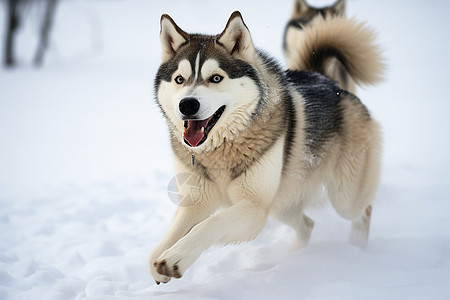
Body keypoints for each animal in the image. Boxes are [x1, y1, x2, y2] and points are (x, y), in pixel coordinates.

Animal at [149, 11, 384, 284]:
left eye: (216, 78)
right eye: (179, 79)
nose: (187, 105)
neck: (220, 151)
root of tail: (331, 83)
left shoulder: (254, 208)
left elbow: (210, 223)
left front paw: (176, 257)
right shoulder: (196, 201)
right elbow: (165, 241)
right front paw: (158, 260)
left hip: (343, 196)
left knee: (363, 210)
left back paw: (356, 248)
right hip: (283, 202)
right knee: (307, 225)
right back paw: (296, 257)